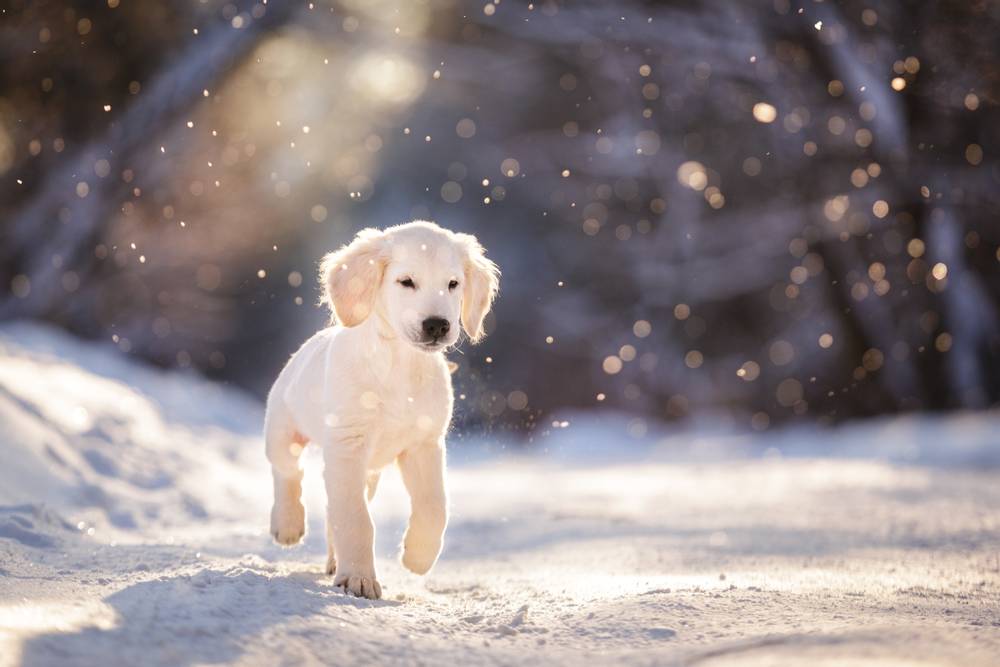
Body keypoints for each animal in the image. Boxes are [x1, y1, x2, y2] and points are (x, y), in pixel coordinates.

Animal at [264, 219, 500, 600]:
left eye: (453, 284)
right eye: (406, 281)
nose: (437, 325)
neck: (399, 365)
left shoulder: (424, 444)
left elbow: (434, 507)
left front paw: (418, 556)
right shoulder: (348, 446)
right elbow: (357, 519)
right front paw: (359, 578)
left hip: (369, 472)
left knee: (330, 507)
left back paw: (334, 561)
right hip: (283, 430)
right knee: (288, 471)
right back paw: (287, 524)